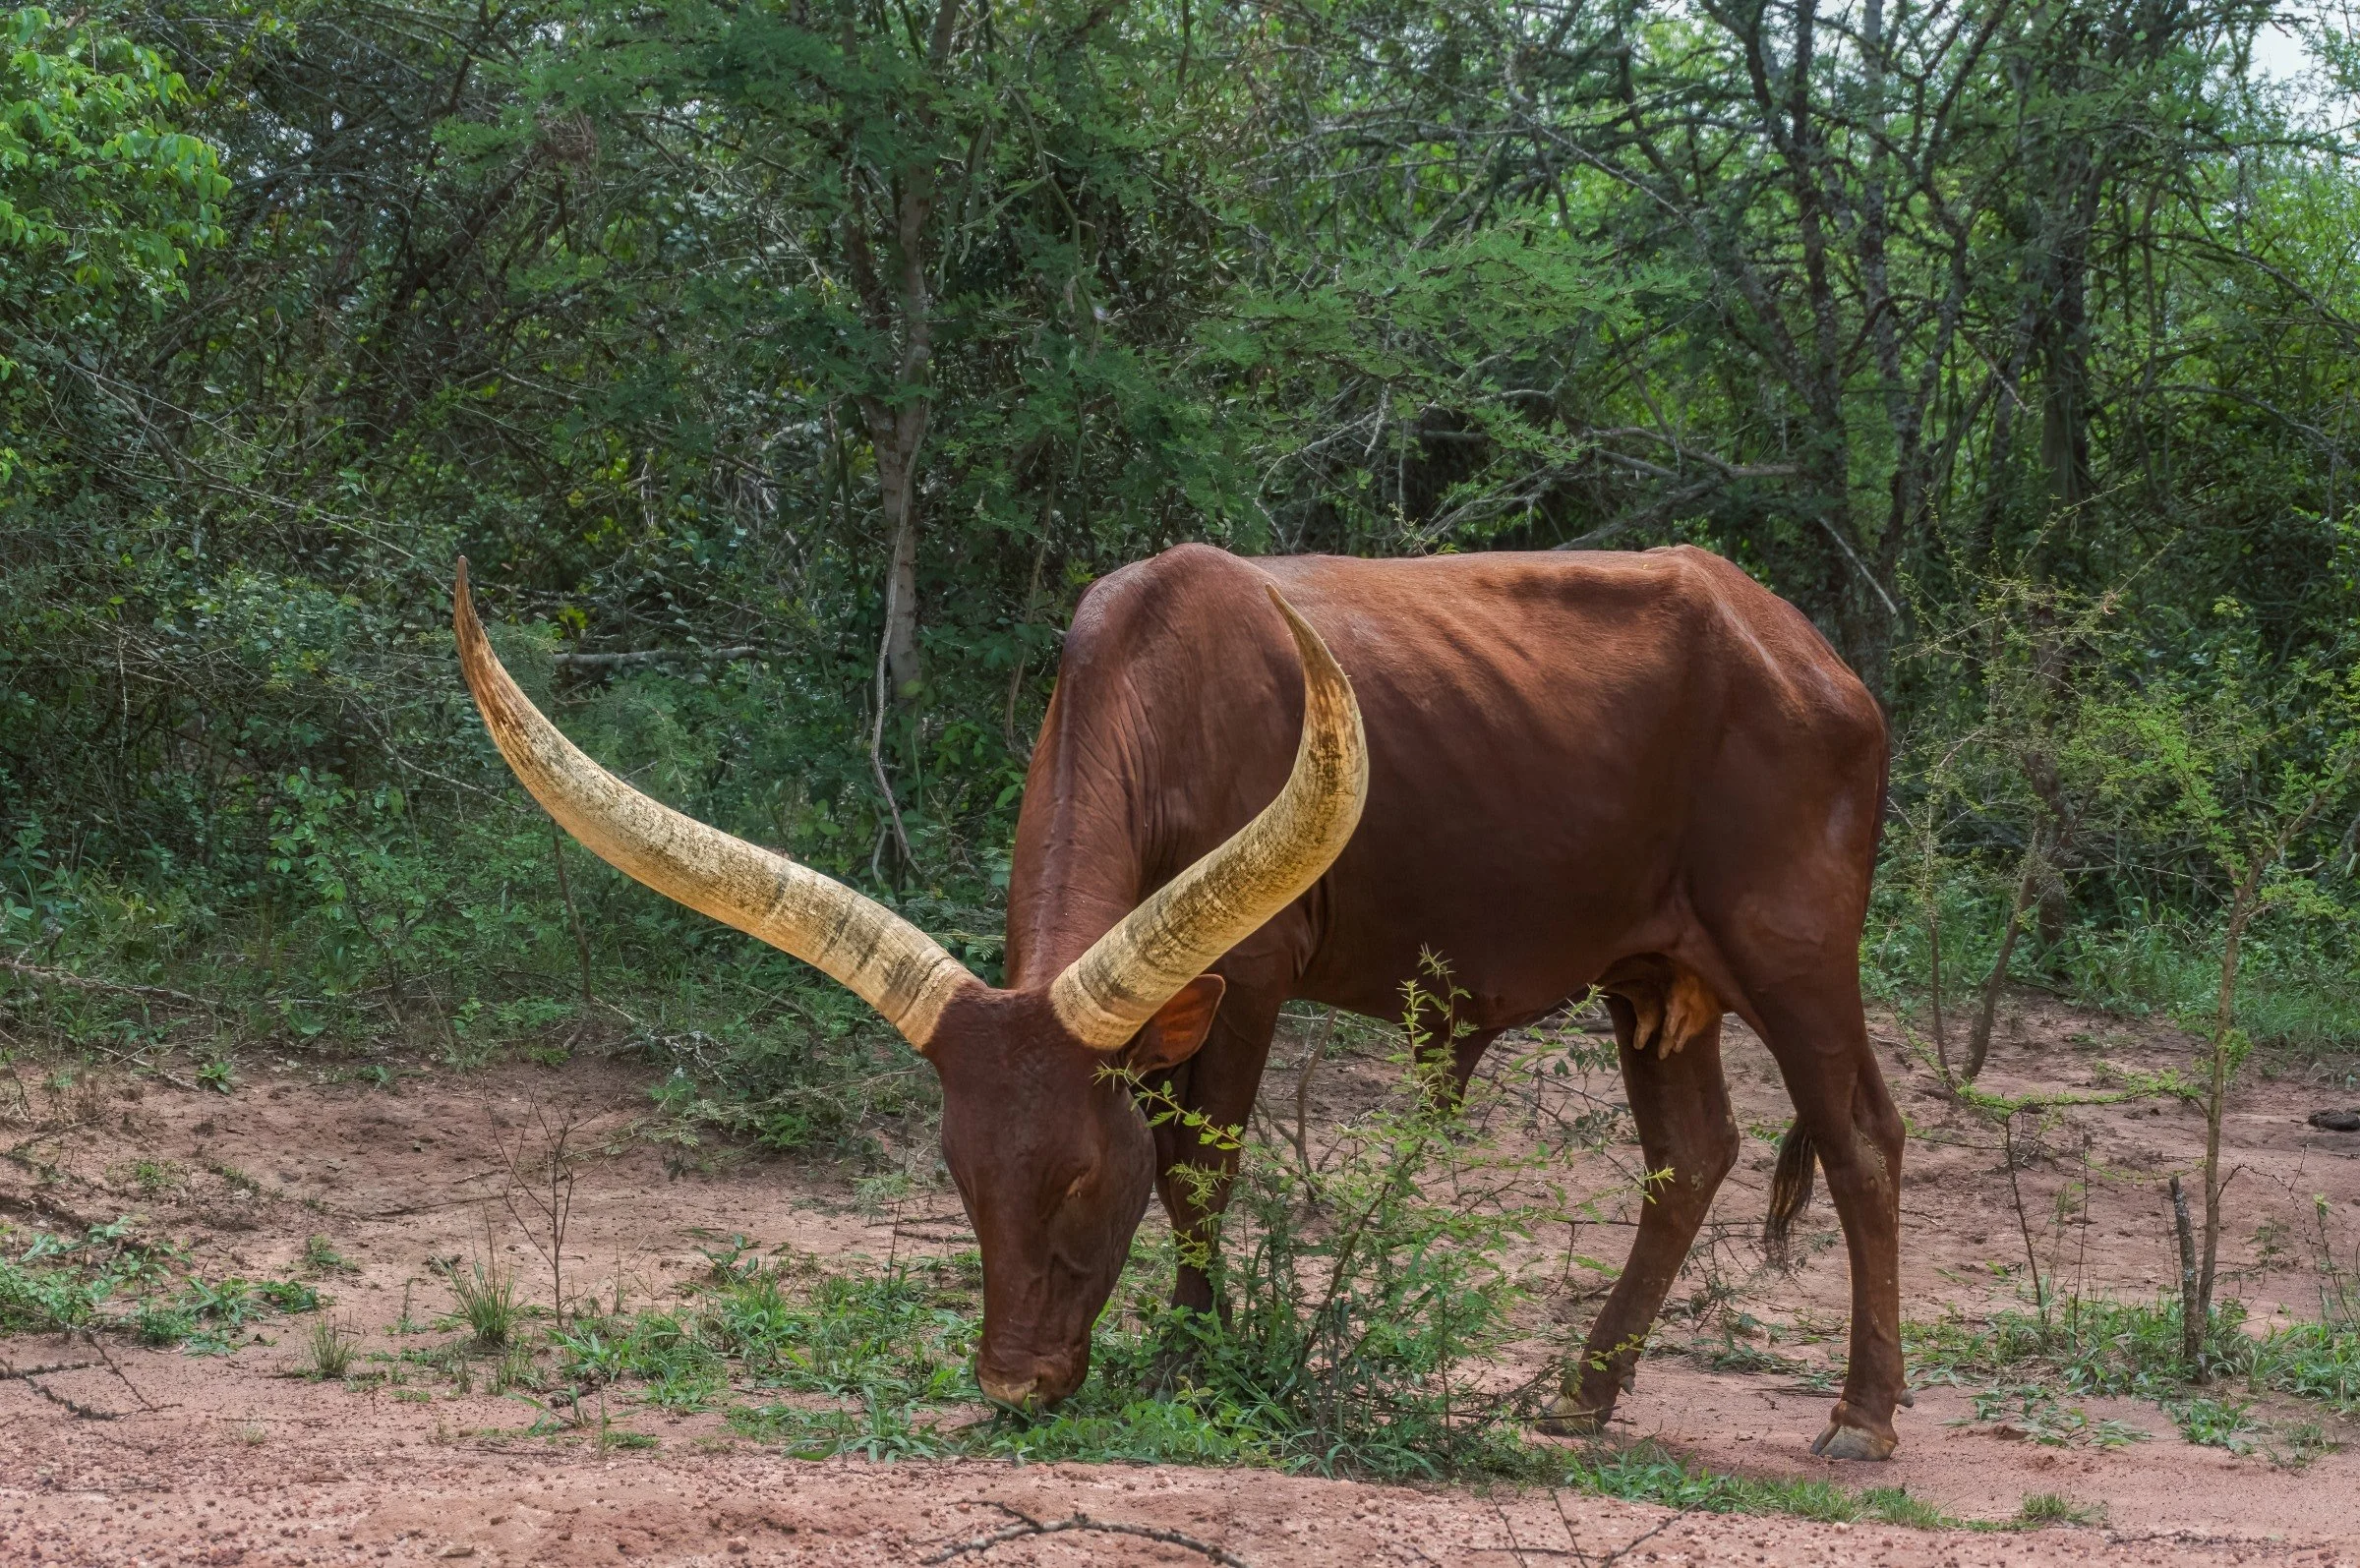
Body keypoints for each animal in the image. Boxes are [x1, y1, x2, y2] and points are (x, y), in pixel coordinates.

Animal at [452, 540, 1903, 1460]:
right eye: (960, 1176)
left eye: (1086, 1179)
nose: (1016, 1380)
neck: (1158, 693)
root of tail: (1813, 655)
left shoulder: (1249, 978)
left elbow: (1207, 1166)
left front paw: (1195, 1355)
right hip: (1650, 976)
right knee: (1690, 1153)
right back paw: (1583, 1398)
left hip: (1795, 948)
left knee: (1860, 1139)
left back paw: (1861, 1415)